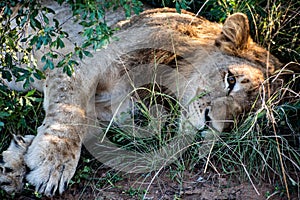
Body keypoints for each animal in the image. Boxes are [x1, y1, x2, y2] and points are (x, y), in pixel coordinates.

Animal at [0, 0, 282, 198]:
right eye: (230, 80)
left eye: (240, 118)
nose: (210, 126)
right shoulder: (79, 57)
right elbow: (70, 111)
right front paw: (52, 165)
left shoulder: (118, 111)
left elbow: (86, 122)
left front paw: (15, 162)